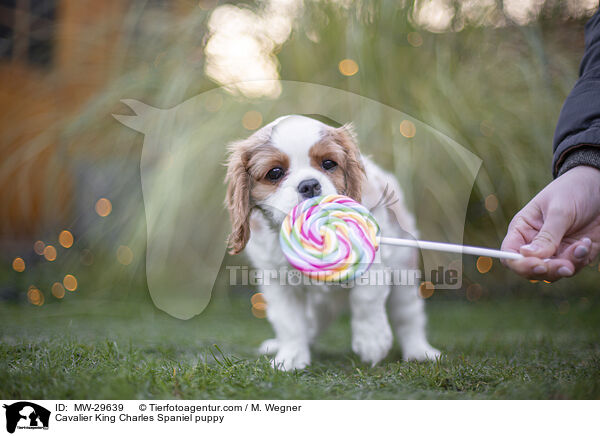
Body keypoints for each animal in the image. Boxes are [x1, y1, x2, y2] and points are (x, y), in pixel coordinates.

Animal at [225, 114, 440, 370]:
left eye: (328, 164)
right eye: (275, 172)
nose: (309, 185)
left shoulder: (372, 258)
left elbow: (366, 298)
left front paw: (372, 340)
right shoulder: (278, 281)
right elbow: (289, 321)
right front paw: (291, 356)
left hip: (403, 273)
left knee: (408, 315)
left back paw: (419, 350)